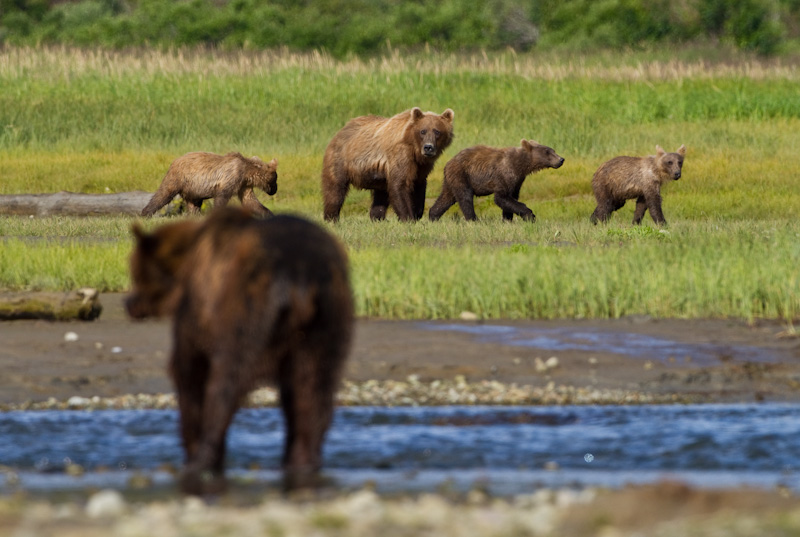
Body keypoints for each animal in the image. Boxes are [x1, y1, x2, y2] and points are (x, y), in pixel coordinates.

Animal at [126, 206, 352, 494]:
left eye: (136, 274)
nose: (129, 303)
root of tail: (300, 279)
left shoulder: (197, 314)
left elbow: (188, 372)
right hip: (325, 322)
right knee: (314, 391)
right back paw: (301, 463)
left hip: (249, 308)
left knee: (226, 383)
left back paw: (202, 462)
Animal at [142, 150, 280, 217]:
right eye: (275, 179)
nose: (275, 190)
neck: (247, 172)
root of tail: (175, 160)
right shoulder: (232, 177)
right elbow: (222, 197)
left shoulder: (243, 185)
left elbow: (250, 201)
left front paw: (269, 213)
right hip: (179, 178)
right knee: (164, 194)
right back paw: (146, 212)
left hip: (193, 189)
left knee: (193, 204)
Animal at [428, 140, 564, 222]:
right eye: (547, 152)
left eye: (553, 150)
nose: (561, 159)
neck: (521, 166)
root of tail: (448, 164)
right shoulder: (504, 174)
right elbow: (501, 197)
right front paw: (530, 215)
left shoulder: (517, 180)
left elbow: (511, 198)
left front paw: (507, 219)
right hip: (462, 175)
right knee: (465, 197)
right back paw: (473, 219)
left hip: (451, 180)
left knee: (446, 198)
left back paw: (432, 216)